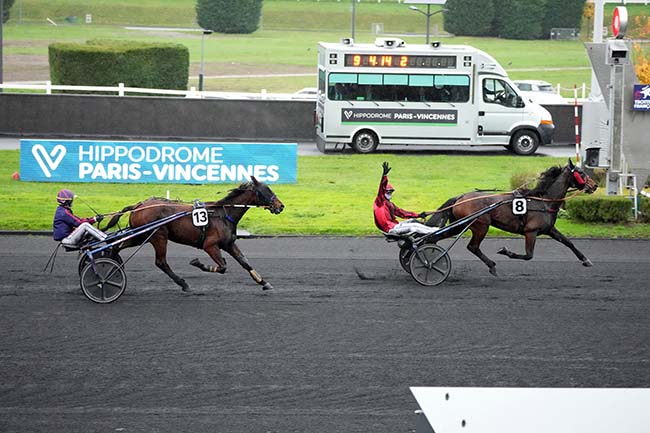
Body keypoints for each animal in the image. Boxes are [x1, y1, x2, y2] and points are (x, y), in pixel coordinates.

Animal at [103, 177, 280, 292]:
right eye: (266, 190)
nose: (281, 206)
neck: (223, 214)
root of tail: (138, 205)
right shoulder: (210, 245)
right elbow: (222, 267)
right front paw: (197, 263)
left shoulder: (229, 244)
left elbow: (245, 262)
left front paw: (264, 282)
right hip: (158, 236)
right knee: (161, 262)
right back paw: (183, 283)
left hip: (141, 236)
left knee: (117, 246)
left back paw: (112, 269)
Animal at [426, 159, 596, 276]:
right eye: (581, 173)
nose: (594, 186)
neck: (544, 201)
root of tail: (460, 197)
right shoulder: (531, 231)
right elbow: (528, 255)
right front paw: (504, 251)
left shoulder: (549, 229)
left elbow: (568, 242)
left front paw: (586, 260)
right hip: (480, 225)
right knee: (472, 247)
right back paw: (491, 265)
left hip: (459, 225)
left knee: (436, 238)